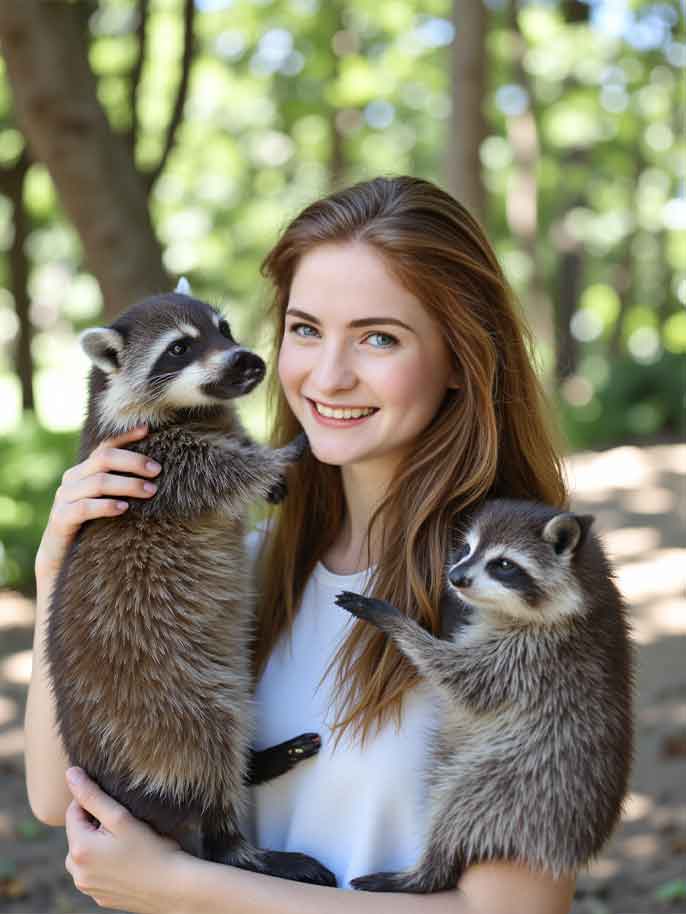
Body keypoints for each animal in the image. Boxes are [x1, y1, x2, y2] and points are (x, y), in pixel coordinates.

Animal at [45, 288, 335, 886]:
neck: (195, 412)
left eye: (224, 329)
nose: (249, 361)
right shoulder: (155, 463)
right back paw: (240, 842)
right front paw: (286, 453)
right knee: (206, 748)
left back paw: (255, 763)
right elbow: (225, 473)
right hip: (158, 702)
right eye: (179, 348)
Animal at [335, 498, 634, 891]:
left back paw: (426, 871)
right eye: (466, 549)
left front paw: (397, 623)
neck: (585, 586)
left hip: (525, 783)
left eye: (503, 565)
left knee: (458, 805)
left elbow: (460, 677)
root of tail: (572, 846)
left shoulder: (536, 656)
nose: (455, 578)